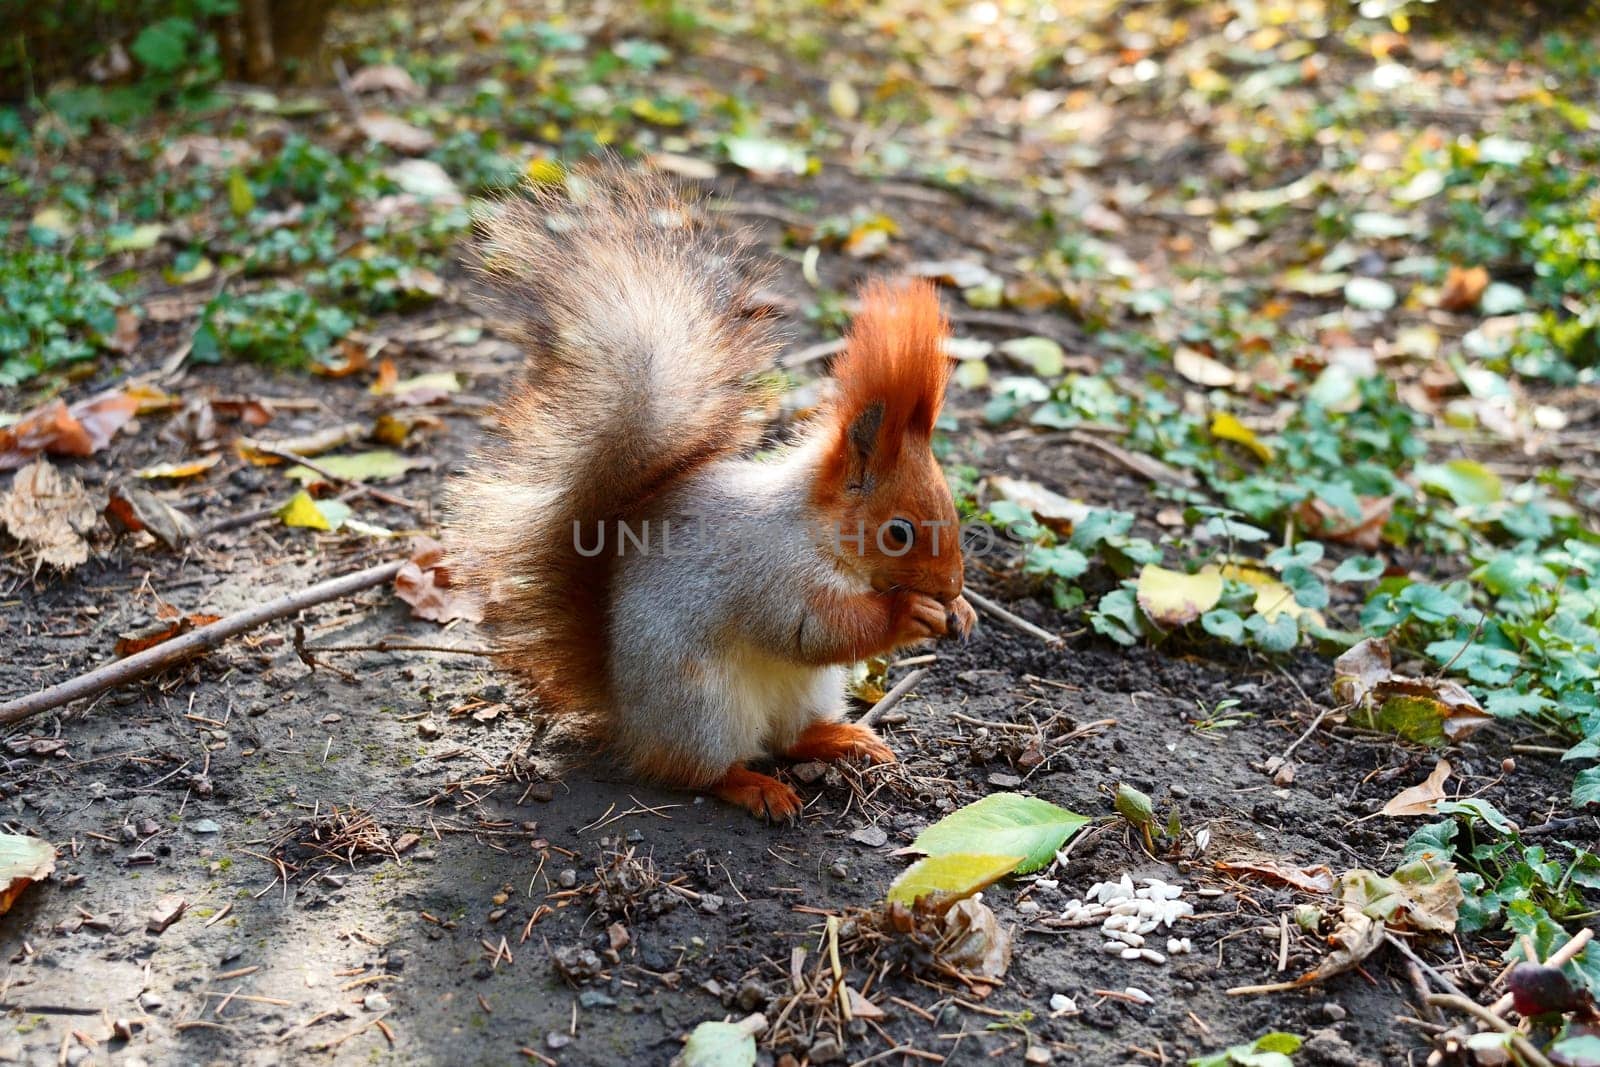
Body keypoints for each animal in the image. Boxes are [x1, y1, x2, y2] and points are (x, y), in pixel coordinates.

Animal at [444, 167, 979, 825]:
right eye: (898, 531)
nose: (951, 586)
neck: (816, 532)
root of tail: (630, 721)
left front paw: (962, 612)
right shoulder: (767, 572)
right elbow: (810, 631)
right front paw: (912, 613)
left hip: (812, 689)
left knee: (788, 737)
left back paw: (842, 739)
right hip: (703, 708)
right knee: (697, 769)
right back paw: (756, 787)